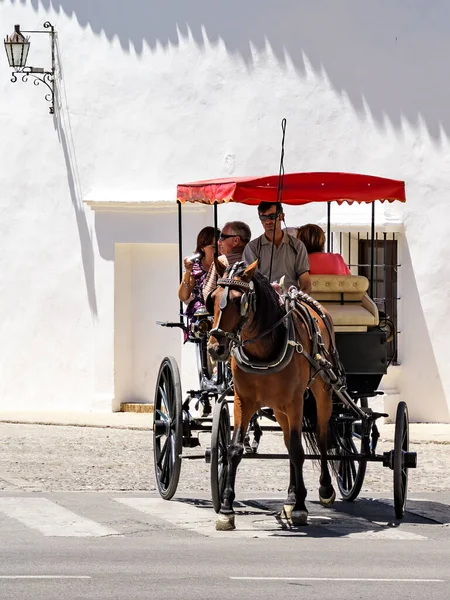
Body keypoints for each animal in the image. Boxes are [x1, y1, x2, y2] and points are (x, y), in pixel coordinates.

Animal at [207, 258, 338, 528]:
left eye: (239, 300)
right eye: (212, 298)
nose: (216, 348)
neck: (262, 349)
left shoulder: (296, 401)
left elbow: (299, 450)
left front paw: (301, 508)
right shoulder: (243, 401)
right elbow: (234, 449)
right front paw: (226, 509)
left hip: (322, 392)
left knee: (320, 437)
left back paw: (323, 489)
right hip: (279, 408)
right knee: (288, 442)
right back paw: (290, 497)